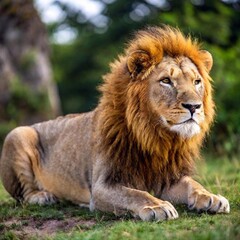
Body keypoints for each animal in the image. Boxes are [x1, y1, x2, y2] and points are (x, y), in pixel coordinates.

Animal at [0, 26, 229, 221]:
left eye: (197, 82)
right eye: (166, 81)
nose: (194, 106)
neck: (154, 136)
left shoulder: (169, 178)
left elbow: (193, 185)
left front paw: (212, 197)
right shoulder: (102, 186)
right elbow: (135, 194)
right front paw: (157, 206)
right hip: (18, 134)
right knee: (23, 194)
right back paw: (42, 196)